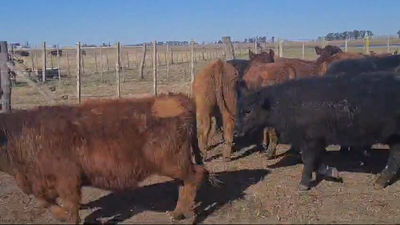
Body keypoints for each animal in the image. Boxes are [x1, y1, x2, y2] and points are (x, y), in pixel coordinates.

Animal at [0, 92, 212, 223]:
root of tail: (179, 97)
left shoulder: (67, 180)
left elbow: (71, 204)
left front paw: (68, 217)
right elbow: (46, 202)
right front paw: (61, 215)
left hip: (174, 163)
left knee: (197, 175)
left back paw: (186, 214)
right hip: (177, 165)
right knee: (185, 183)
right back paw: (178, 213)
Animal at [238, 72, 400, 192]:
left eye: (248, 111)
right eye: (240, 109)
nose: (236, 132)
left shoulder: (311, 138)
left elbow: (308, 160)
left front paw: (303, 185)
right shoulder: (318, 140)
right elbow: (315, 161)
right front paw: (334, 173)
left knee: (394, 160)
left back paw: (378, 183)